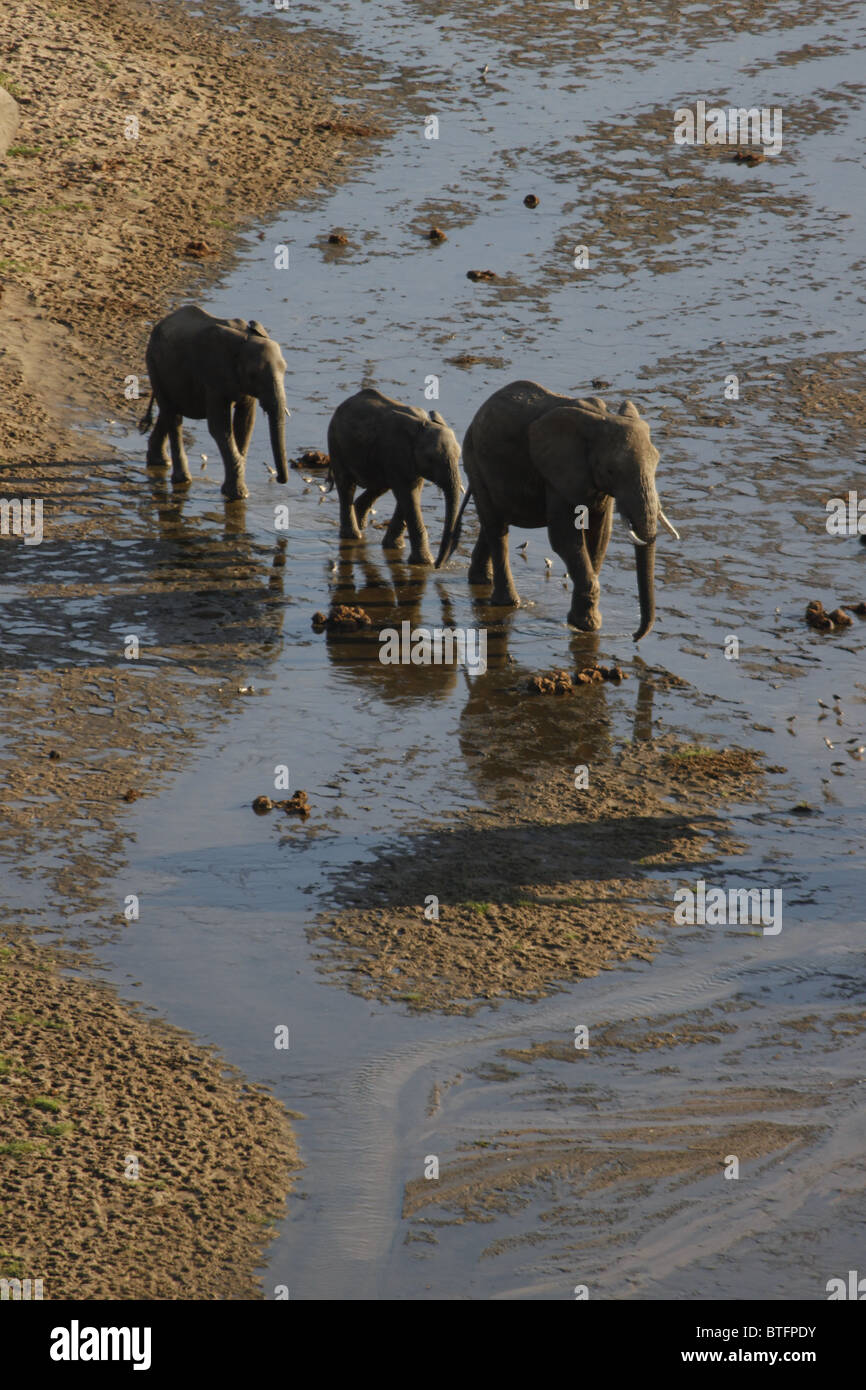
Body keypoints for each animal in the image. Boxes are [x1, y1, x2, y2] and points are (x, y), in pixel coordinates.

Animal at [138, 305, 290, 501]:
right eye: (253, 375)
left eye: (285, 370)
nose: (279, 479)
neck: (244, 341)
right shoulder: (213, 377)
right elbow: (220, 428)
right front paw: (238, 495)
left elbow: (245, 424)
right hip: (154, 363)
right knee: (172, 414)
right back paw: (182, 479)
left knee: (168, 412)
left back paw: (160, 463)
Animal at [326, 388, 463, 567]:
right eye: (431, 459)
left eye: (459, 456)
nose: (439, 565)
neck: (421, 425)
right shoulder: (398, 453)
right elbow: (408, 495)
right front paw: (424, 562)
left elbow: (411, 493)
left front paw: (394, 547)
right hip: (336, 444)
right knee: (346, 485)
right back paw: (353, 536)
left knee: (379, 485)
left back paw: (361, 524)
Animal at [444, 380, 678, 640]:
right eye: (611, 470)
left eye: (657, 462)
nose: (635, 637)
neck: (603, 419)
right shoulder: (557, 474)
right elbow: (564, 538)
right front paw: (586, 625)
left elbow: (599, 536)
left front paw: (584, 621)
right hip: (474, 459)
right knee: (496, 527)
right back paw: (508, 603)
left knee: (496, 522)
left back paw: (481, 581)